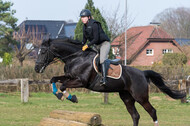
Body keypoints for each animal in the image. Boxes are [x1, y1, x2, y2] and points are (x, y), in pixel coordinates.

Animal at [35, 37, 185, 126]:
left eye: (42, 52)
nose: (36, 68)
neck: (76, 57)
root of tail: (142, 73)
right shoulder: (69, 76)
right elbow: (54, 79)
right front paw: (60, 95)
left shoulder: (81, 81)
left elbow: (63, 86)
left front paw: (70, 97)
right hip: (126, 97)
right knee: (135, 115)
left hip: (140, 96)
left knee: (152, 111)